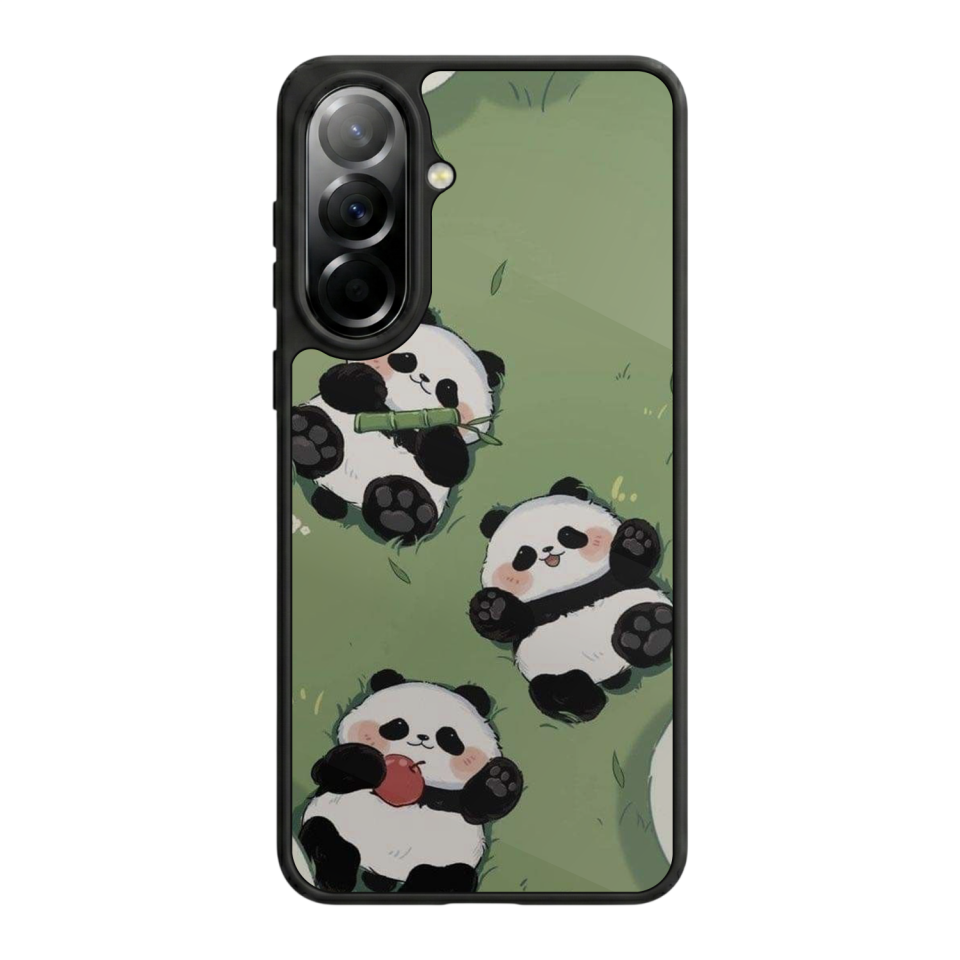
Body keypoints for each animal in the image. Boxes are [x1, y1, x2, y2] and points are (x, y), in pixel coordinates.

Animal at [291, 312, 505, 544]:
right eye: (407, 359)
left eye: (448, 387)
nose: (423, 378)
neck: (401, 413)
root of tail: (345, 496)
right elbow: (336, 384)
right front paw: (370, 386)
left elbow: (451, 466)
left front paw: (438, 431)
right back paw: (310, 438)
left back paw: (400, 509)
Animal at [298, 669, 523, 894]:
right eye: (399, 724)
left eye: (448, 735)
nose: (423, 737)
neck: (424, 785)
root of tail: (380, 872)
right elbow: (326, 771)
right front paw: (369, 764)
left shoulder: (453, 798)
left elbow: (476, 807)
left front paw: (499, 781)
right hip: (331, 823)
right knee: (326, 837)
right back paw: (337, 880)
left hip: (447, 862)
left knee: (449, 877)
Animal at [468, 477, 674, 722]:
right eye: (524, 554)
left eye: (566, 535)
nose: (547, 550)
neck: (568, 590)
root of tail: (611, 673)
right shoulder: (537, 609)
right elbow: (514, 623)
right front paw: (491, 607)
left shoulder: (611, 581)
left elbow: (630, 571)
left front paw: (634, 540)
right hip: (544, 667)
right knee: (550, 687)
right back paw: (581, 696)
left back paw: (648, 632)